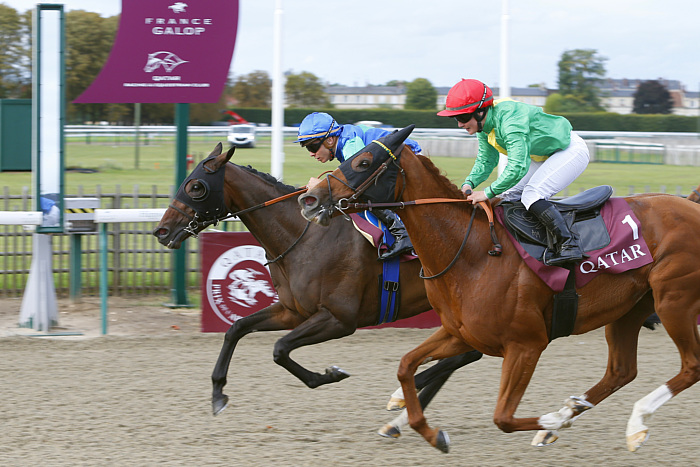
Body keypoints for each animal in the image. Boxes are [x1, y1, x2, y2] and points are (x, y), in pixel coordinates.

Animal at [152, 144, 482, 418]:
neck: (304, 238)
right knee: (468, 352)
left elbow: (280, 348)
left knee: (469, 352)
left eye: (196, 186)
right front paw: (218, 393)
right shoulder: (293, 311)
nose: (161, 231)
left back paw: (404, 395)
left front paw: (331, 374)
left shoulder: (339, 318)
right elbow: (236, 329)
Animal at [300, 126, 700, 456]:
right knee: (621, 371)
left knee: (690, 366)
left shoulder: (526, 344)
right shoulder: (460, 333)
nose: (309, 199)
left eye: (364, 161)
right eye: (345, 159)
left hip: (674, 299)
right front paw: (431, 433)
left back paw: (617, 420)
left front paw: (552, 421)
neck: (472, 253)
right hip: (631, 308)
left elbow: (503, 417)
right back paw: (590, 417)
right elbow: (405, 366)